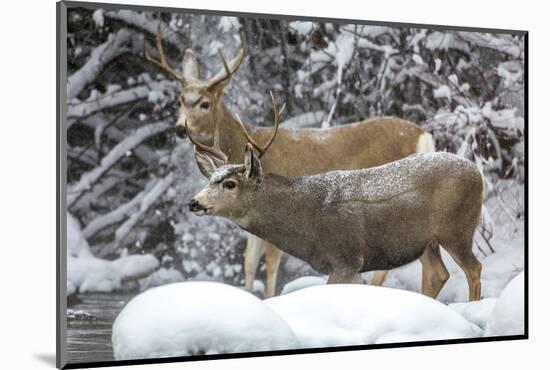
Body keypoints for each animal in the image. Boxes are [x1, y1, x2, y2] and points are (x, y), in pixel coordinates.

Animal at [144, 25, 438, 298]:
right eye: (180, 100)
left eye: (204, 103)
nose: (180, 128)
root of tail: (424, 135)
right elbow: (249, 262)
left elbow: (271, 265)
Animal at [188, 97, 486, 302]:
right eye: (209, 179)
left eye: (230, 184)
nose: (194, 202)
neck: (307, 222)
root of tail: (477, 173)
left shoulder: (346, 257)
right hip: (425, 242)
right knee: (438, 274)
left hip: (457, 229)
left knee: (474, 268)